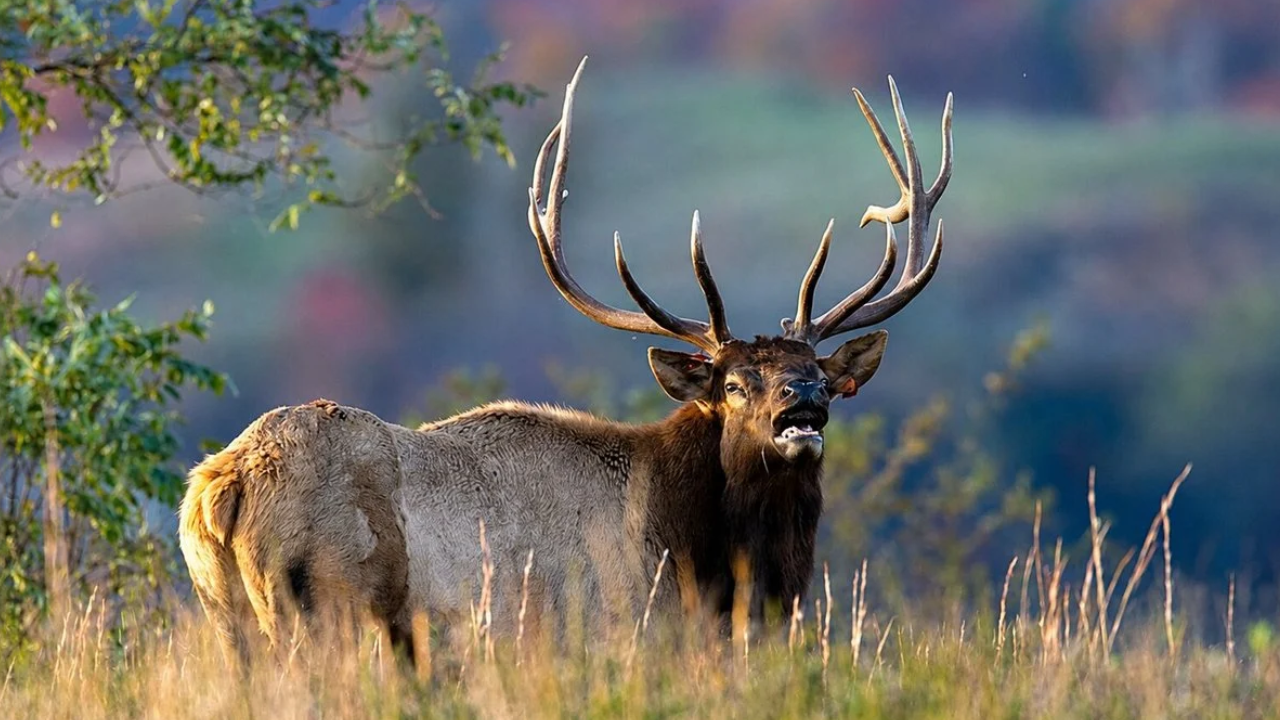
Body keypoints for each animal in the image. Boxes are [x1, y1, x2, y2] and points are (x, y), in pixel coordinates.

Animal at [178, 57, 953, 665]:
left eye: (823, 375)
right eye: (735, 384)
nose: (802, 401)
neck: (699, 556)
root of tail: (220, 485)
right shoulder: (604, 630)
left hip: (228, 617)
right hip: (323, 605)